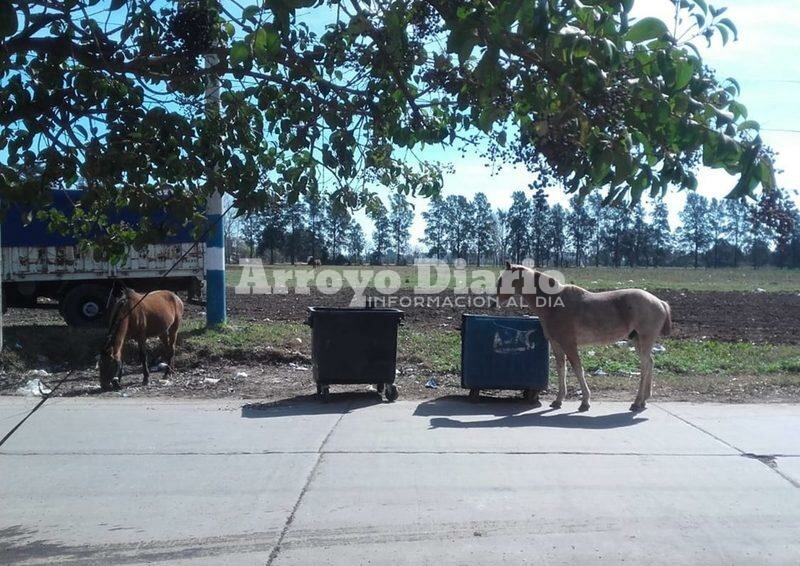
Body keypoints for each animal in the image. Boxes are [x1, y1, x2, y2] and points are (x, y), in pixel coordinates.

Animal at [496, 264, 672, 414]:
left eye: (502, 280)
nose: (495, 301)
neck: (554, 304)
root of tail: (660, 302)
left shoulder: (569, 344)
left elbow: (577, 369)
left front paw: (585, 402)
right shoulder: (556, 344)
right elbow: (561, 369)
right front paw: (558, 400)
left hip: (645, 340)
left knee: (645, 366)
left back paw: (637, 402)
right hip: (638, 341)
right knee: (650, 363)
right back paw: (644, 400)